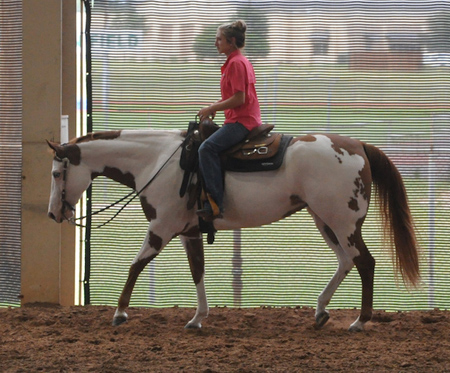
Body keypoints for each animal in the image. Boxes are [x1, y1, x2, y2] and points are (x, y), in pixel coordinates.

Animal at [47, 129, 420, 332]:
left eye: (56, 173)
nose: (53, 213)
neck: (156, 162)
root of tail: (357, 146)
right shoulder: (188, 232)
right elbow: (197, 271)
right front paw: (198, 318)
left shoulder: (161, 227)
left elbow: (135, 266)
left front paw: (120, 313)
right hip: (325, 220)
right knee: (346, 261)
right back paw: (320, 311)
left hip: (342, 222)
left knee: (365, 262)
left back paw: (359, 321)